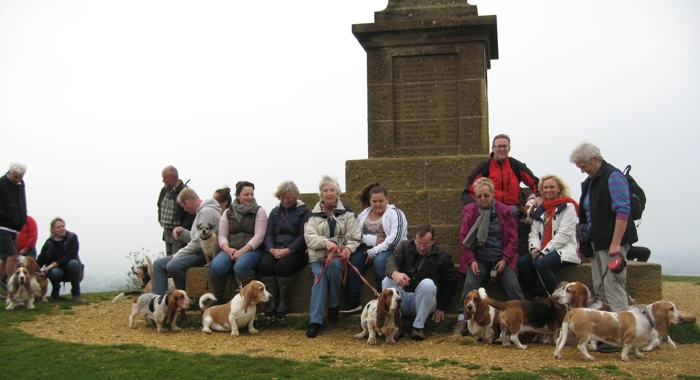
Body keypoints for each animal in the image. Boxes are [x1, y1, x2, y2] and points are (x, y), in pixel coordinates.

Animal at [552, 302, 684, 360]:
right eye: (671, 309)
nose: (682, 319)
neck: (645, 317)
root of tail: (573, 311)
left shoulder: (637, 340)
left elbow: (636, 348)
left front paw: (639, 354)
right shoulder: (629, 338)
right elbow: (627, 348)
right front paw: (624, 357)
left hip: (568, 332)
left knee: (559, 341)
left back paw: (557, 354)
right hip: (585, 334)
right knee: (581, 346)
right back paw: (589, 357)